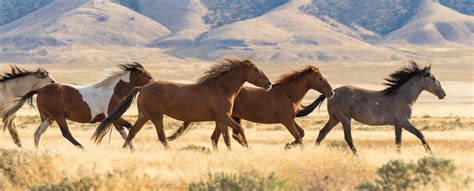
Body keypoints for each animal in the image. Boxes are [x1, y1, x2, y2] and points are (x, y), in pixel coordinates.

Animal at [1, 62, 153, 148]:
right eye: (148, 77)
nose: (154, 85)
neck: (114, 90)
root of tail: (40, 90)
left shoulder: (114, 118)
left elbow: (126, 130)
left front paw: (130, 148)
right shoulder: (112, 116)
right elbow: (128, 128)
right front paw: (130, 147)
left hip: (48, 118)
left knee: (37, 134)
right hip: (58, 116)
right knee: (66, 133)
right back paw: (83, 148)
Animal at [92, 57, 272, 150]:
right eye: (256, 70)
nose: (269, 84)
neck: (222, 88)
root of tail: (142, 88)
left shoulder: (220, 119)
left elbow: (220, 137)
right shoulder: (223, 117)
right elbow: (236, 130)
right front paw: (246, 149)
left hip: (144, 116)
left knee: (132, 133)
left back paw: (126, 150)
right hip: (156, 116)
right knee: (161, 137)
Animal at [168, 65, 336, 149]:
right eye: (320, 78)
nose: (331, 92)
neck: (288, 94)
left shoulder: (290, 119)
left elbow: (301, 133)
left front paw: (288, 145)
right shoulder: (286, 120)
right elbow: (298, 136)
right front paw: (292, 147)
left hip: (224, 118)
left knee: (219, 137)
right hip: (228, 118)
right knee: (230, 135)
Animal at [296, 62, 444, 154]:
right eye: (433, 79)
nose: (443, 94)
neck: (403, 96)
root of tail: (331, 93)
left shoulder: (398, 124)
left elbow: (398, 141)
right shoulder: (404, 121)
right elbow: (420, 134)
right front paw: (431, 153)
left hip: (334, 118)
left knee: (322, 133)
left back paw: (313, 151)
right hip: (344, 119)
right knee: (348, 138)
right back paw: (357, 156)